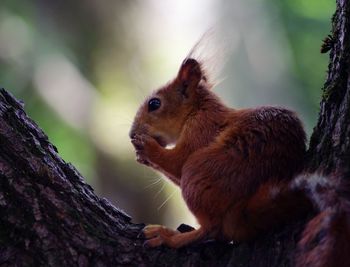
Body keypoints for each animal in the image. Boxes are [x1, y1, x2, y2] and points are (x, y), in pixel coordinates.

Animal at [129, 40, 312, 250]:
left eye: (154, 104)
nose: (131, 133)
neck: (197, 110)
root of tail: (241, 212)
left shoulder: (202, 129)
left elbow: (178, 160)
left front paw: (145, 147)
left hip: (197, 173)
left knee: (213, 229)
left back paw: (168, 236)